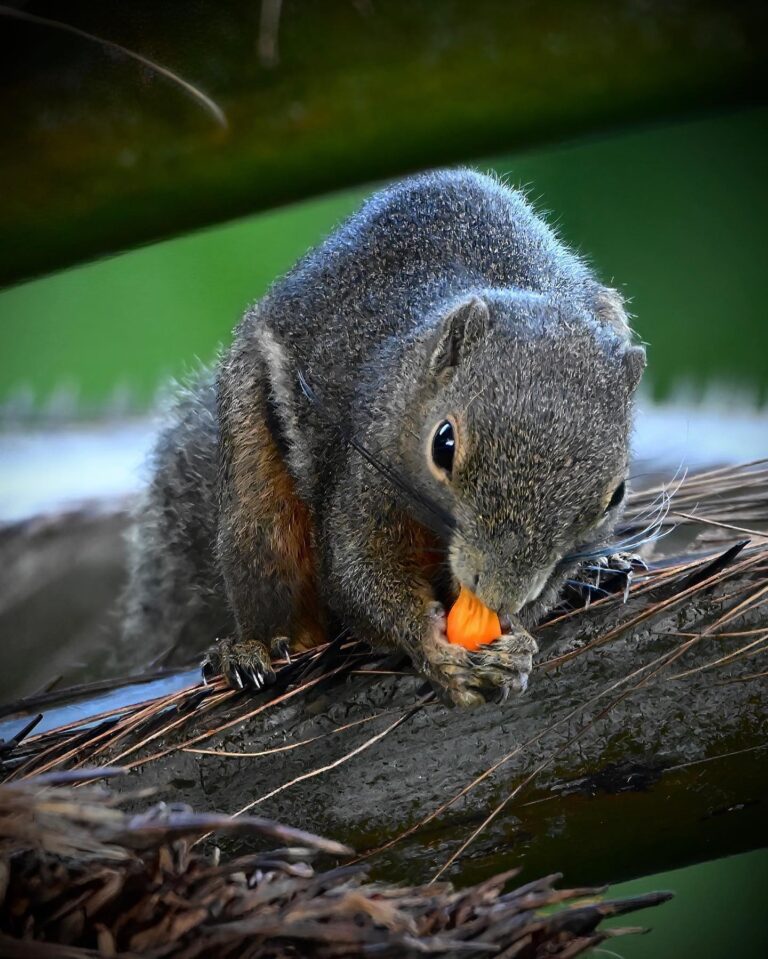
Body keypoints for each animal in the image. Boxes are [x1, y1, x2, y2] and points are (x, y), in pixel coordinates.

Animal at [122, 169, 645, 707]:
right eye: (443, 444)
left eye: (616, 496)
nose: (497, 596)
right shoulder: (367, 465)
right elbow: (357, 572)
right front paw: (432, 648)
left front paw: (514, 641)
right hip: (254, 484)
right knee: (270, 565)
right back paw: (249, 651)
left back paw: (600, 569)